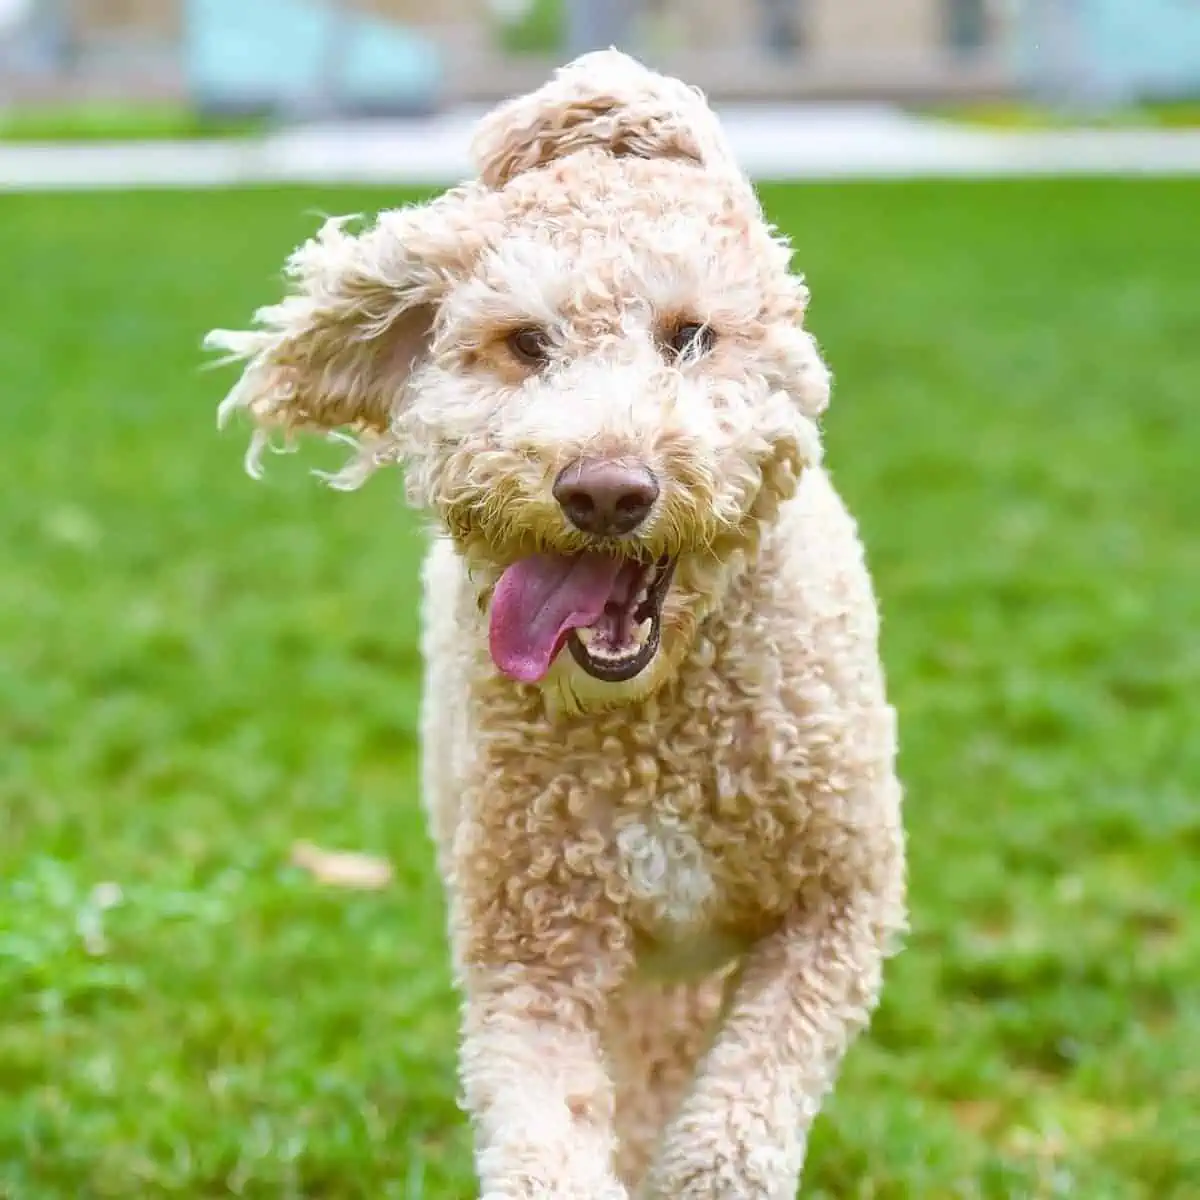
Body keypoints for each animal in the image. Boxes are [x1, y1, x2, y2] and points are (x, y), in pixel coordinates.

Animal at [208, 49, 902, 1200]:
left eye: (690, 337)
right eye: (526, 344)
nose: (605, 490)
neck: (655, 727)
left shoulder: (837, 907)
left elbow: (735, 1122)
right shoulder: (533, 953)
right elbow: (545, 1129)